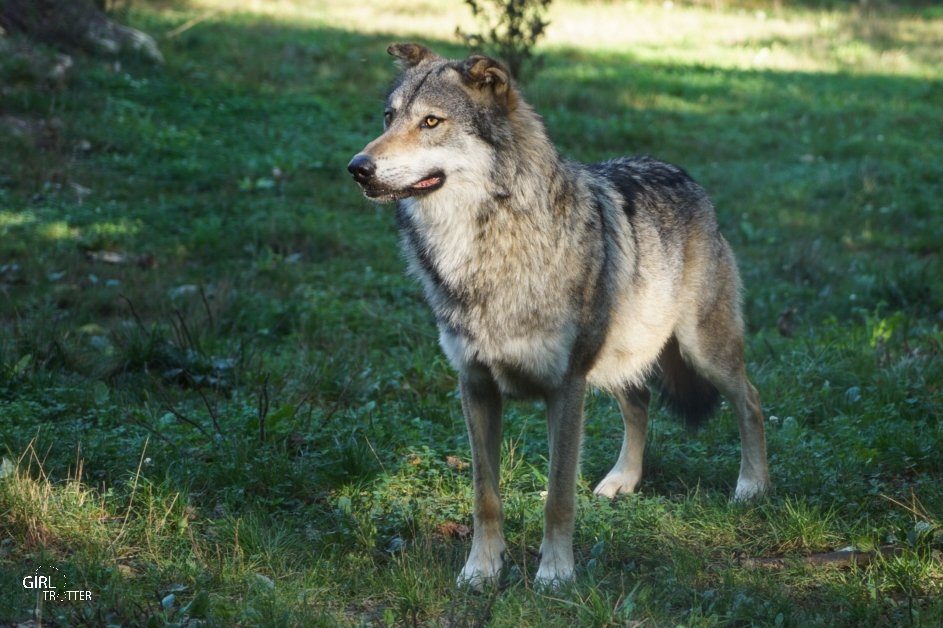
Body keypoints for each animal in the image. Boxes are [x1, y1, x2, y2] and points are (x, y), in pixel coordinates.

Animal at [346, 45, 768, 588]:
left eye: (431, 122)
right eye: (389, 117)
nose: (357, 166)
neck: (484, 249)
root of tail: (682, 173)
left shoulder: (565, 387)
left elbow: (559, 496)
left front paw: (554, 575)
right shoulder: (475, 385)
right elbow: (485, 497)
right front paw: (481, 571)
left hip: (700, 352)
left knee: (750, 400)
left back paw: (752, 487)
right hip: (617, 357)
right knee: (641, 400)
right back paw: (622, 481)